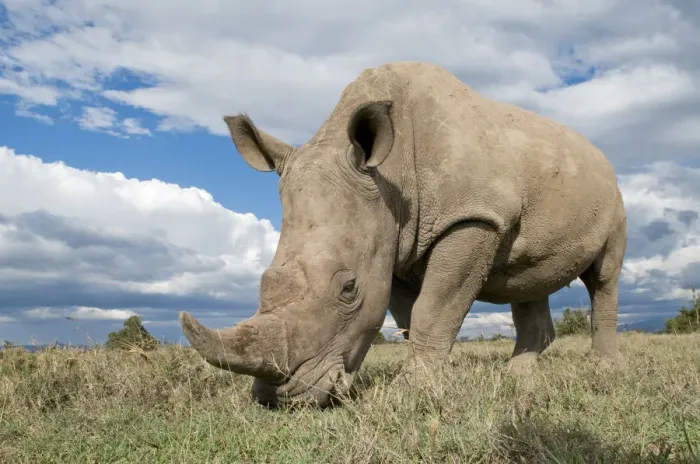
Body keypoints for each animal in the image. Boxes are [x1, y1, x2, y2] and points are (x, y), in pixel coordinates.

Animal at [179, 61, 627, 407]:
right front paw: (425, 379)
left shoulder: (472, 217)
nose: (279, 399)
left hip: (613, 196)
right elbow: (412, 316)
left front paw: (410, 392)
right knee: (528, 279)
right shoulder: (393, 243)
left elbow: (433, 309)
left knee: (604, 276)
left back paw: (602, 370)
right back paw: (517, 377)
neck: (389, 177)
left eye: (348, 289)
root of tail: (600, 155)